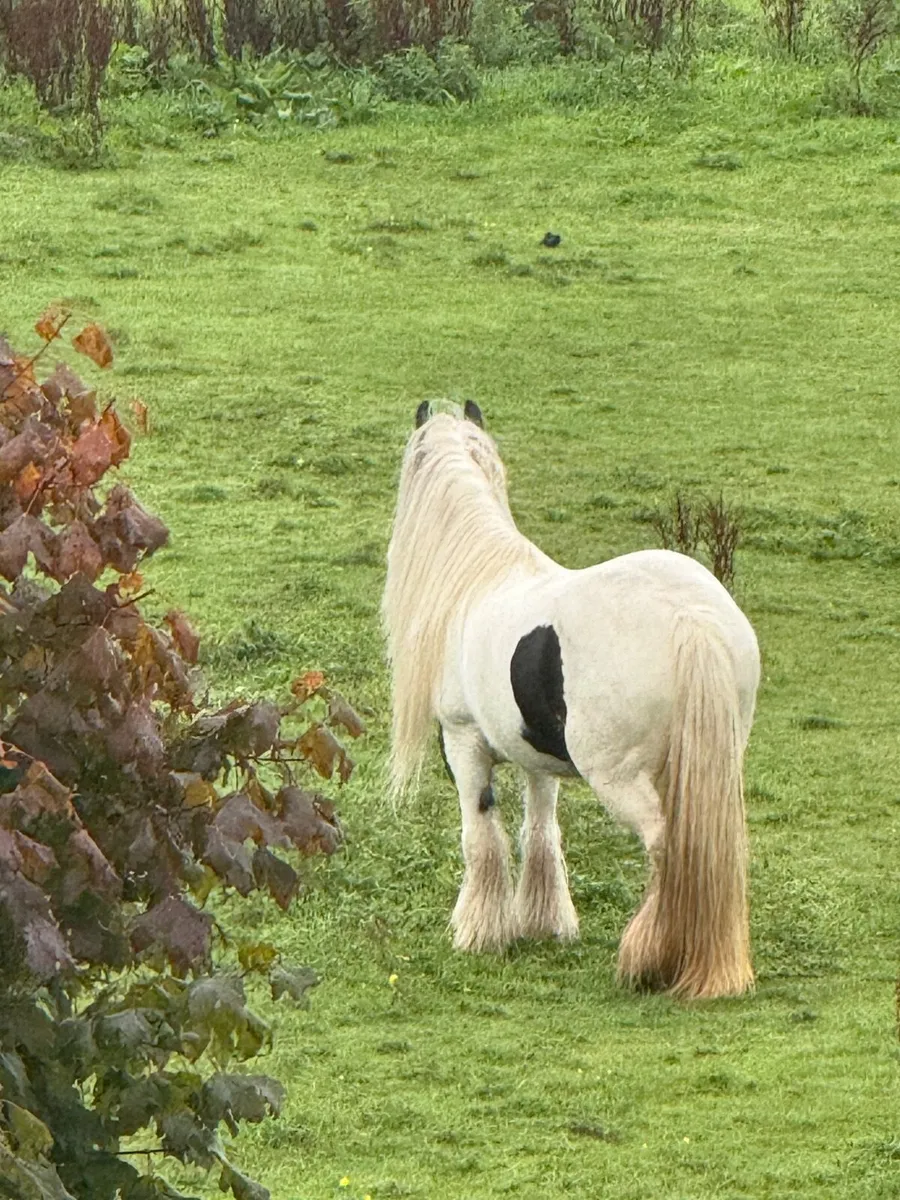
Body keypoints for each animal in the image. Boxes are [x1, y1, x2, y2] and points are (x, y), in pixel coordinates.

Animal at [382, 401, 760, 999]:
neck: (477, 581)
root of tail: (690, 620)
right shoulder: (536, 755)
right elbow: (540, 830)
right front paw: (542, 923)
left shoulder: (463, 742)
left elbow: (481, 835)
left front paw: (479, 932)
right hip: (709, 765)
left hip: (620, 778)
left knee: (665, 846)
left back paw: (646, 959)